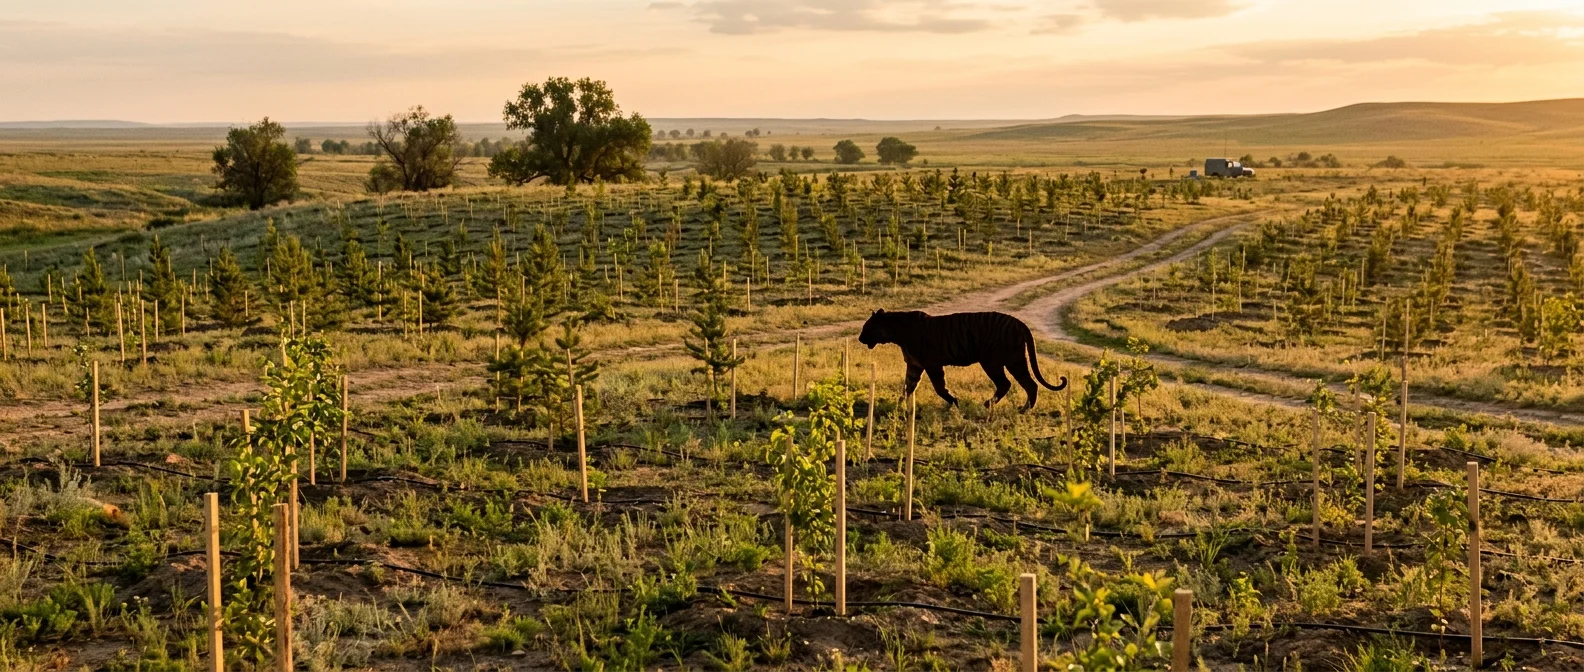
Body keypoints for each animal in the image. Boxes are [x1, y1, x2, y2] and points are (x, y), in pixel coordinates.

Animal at [857, 309, 1068, 411]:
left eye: (866, 327)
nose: (860, 338)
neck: (897, 334)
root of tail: (1020, 323)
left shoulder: (932, 364)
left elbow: (939, 388)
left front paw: (954, 402)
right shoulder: (914, 365)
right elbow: (907, 387)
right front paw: (900, 405)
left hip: (1000, 361)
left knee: (1019, 384)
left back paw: (1017, 409)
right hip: (1006, 361)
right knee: (1020, 384)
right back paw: (1010, 407)